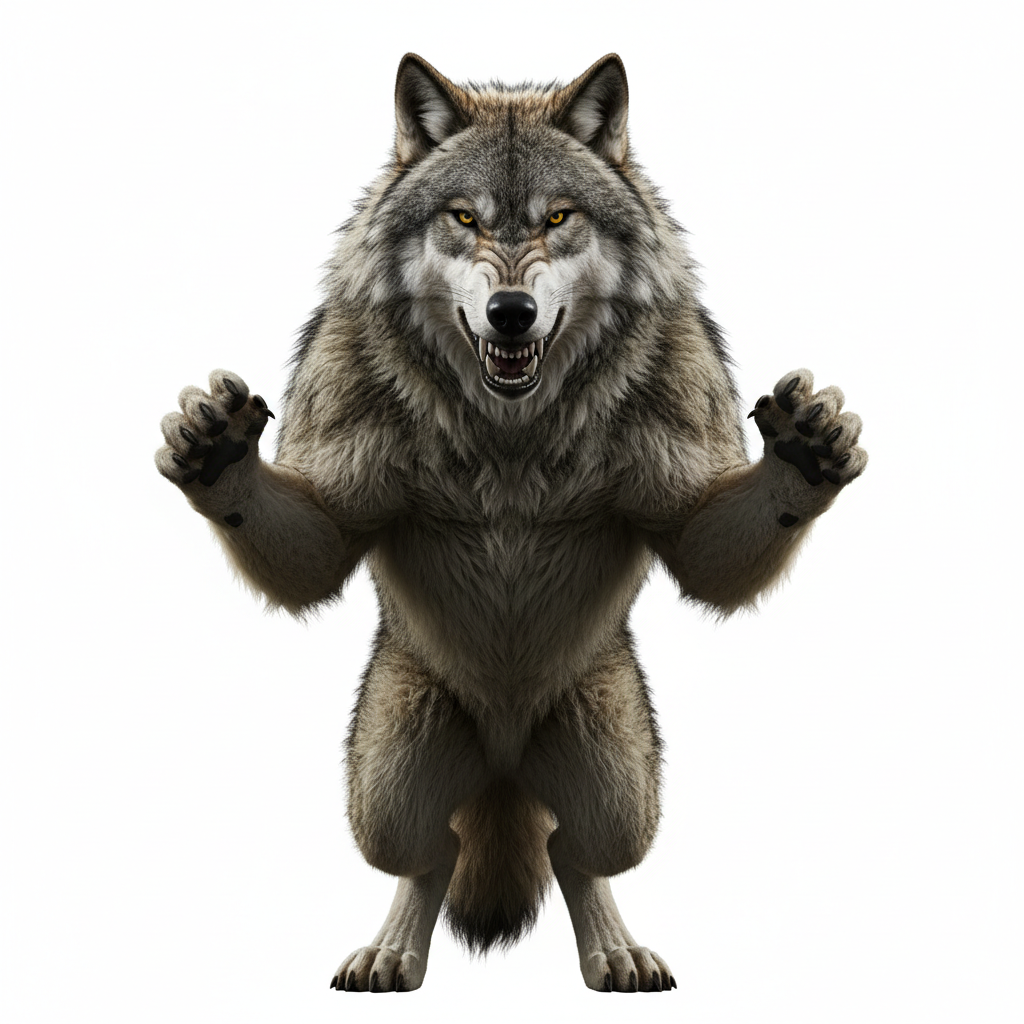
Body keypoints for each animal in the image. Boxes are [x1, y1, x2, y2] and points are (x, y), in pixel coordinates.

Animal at [155, 53, 866, 992]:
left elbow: (706, 552)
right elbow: (316, 548)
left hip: (621, 787)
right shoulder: (337, 455)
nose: (512, 313)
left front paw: (804, 454)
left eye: (558, 217)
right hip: (387, 782)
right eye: (465, 218)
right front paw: (218, 453)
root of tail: (502, 764)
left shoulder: (684, 452)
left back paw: (614, 953)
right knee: (433, 854)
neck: (510, 433)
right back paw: (392, 953)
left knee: (574, 853)